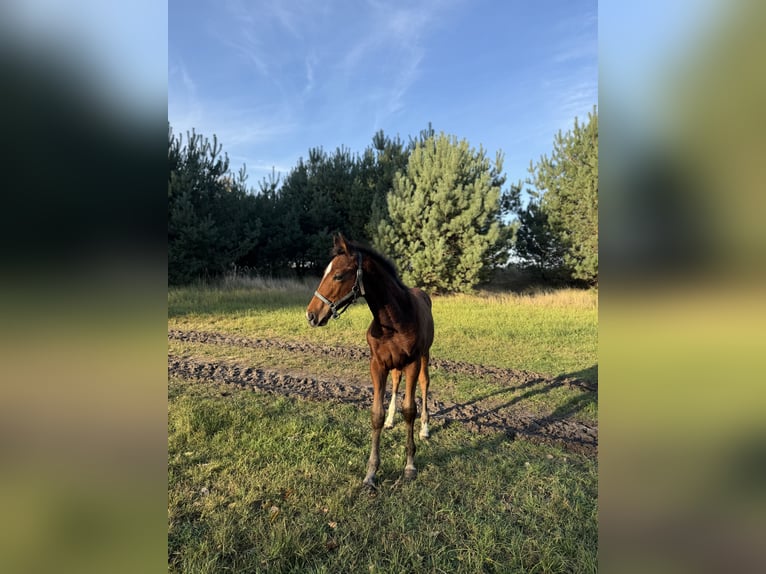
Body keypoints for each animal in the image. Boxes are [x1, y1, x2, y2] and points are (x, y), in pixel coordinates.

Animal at [306, 234, 434, 488]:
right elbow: (377, 414)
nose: (311, 315)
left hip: (425, 356)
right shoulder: (377, 365)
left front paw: (410, 466)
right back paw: (392, 421)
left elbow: (410, 409)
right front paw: (371, 474)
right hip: (395, 365)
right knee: (396, 382)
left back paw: (425, 428)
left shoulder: (413, 362)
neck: (394, 320)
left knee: (425, 385)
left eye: (338, 275)